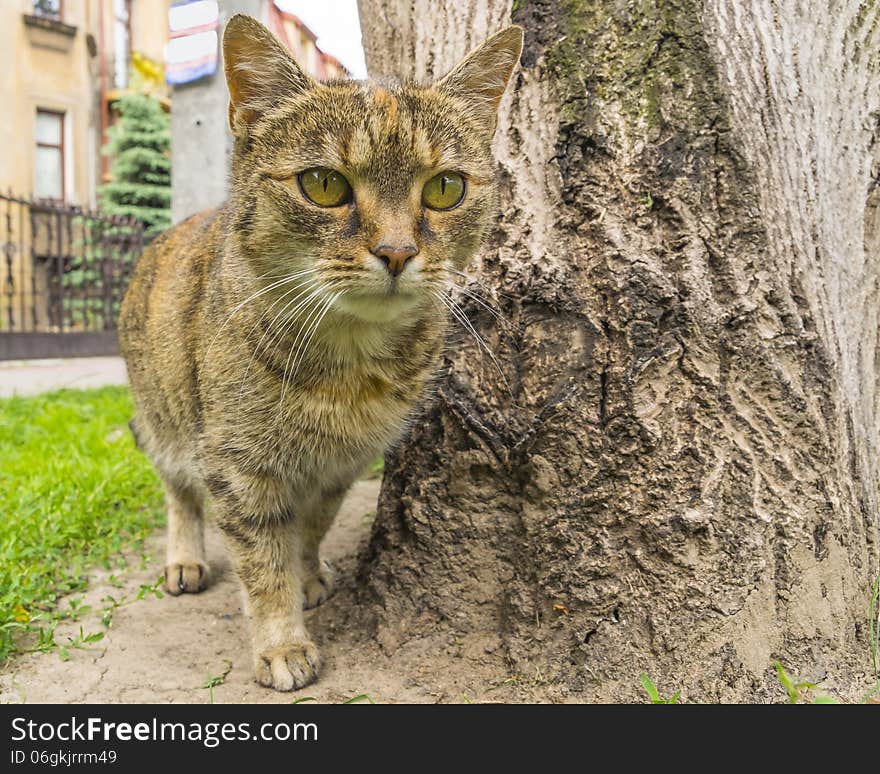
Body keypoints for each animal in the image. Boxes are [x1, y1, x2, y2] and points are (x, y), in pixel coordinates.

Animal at [117, 13, 524, 692]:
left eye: (445, 188)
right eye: (325, 184)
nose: (396, 252)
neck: (348, 369)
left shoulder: (342, 466)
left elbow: (311, 529)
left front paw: (307, 576)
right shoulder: (238, 468)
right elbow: (263, 563)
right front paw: (282, 643)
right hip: (164, 418)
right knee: (178, 493)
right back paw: (184, 558)